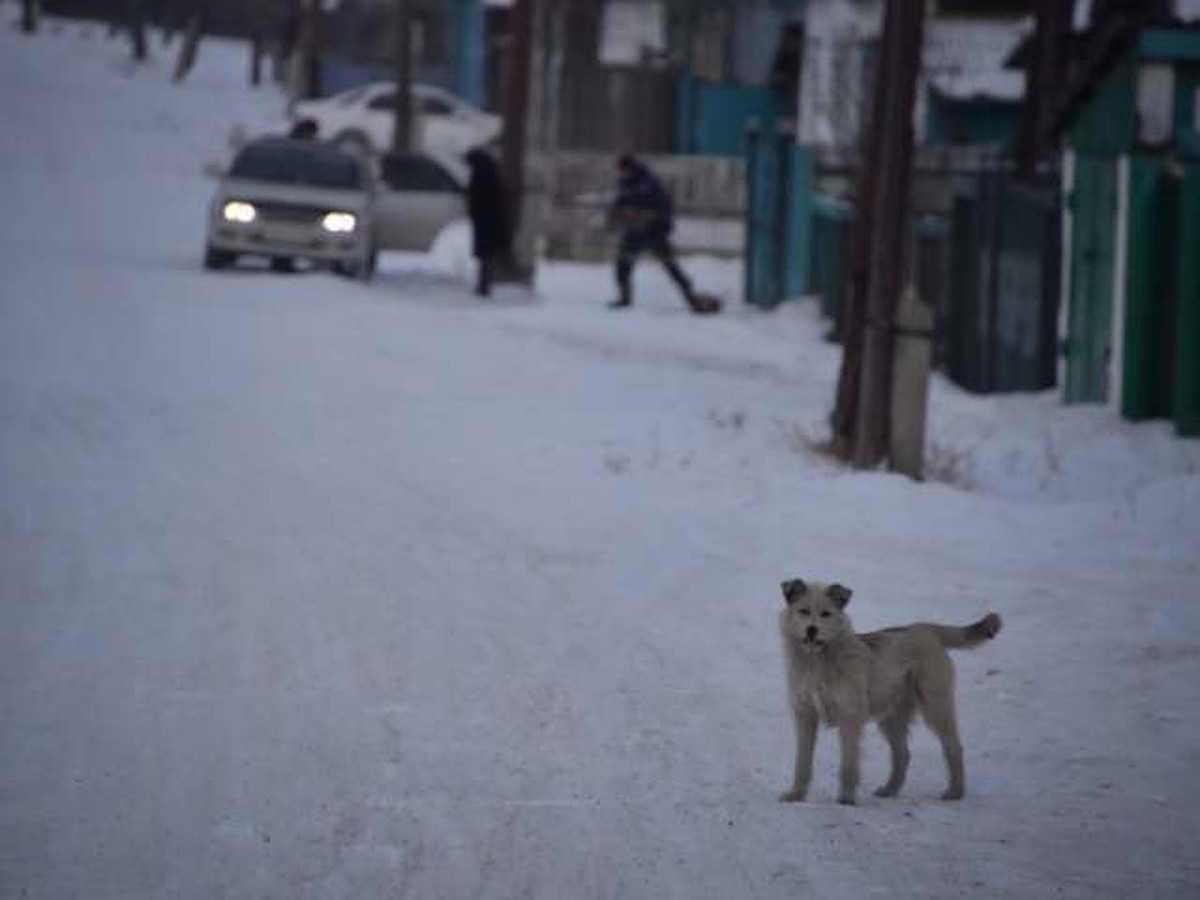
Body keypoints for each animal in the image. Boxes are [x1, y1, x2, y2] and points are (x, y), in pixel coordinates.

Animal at [772, 580, 998, 806]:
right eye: (803, 611)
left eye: (825, 614)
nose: (812, 630)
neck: (817, 660)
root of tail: (925, 629)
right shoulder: (805, 716)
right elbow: (802, 762)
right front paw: (796, 794)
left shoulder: (849, 717)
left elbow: (848, 764)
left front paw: (846, 799)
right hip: (891, 719)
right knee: (903, 754)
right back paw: (890, 789)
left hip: (935, 707)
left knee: (954, 746)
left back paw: (955, 792)